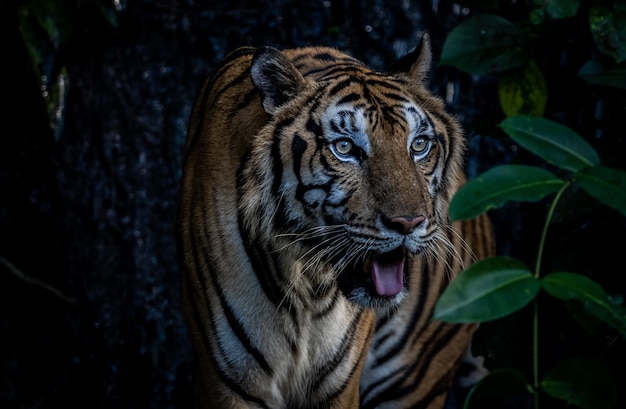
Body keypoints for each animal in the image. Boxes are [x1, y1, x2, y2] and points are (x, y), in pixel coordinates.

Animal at [174, 35, 492, 408]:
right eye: (344, 148)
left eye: (418, 145)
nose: (408, 223)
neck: (307, 284)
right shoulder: (229, 382)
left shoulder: (341, 385)